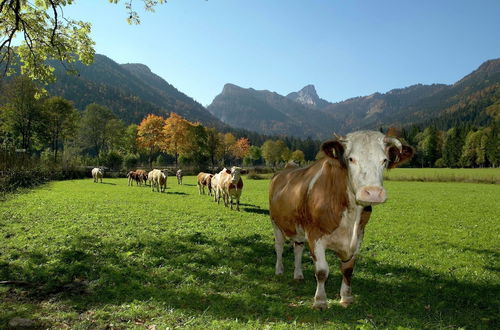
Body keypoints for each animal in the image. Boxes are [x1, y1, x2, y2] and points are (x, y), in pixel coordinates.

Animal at [270, 131, 414, 310]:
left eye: (384, 160)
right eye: (351, 159)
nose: (373, 192)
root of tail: (287, 168)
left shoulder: (358, 237)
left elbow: (348, 270)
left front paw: (346, 298)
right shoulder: (315, 235)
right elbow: (322, 271)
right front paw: (320, 301)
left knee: (298, 248)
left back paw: (298, 274)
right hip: (275, 222)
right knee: (279, 247)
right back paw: (279, 270)